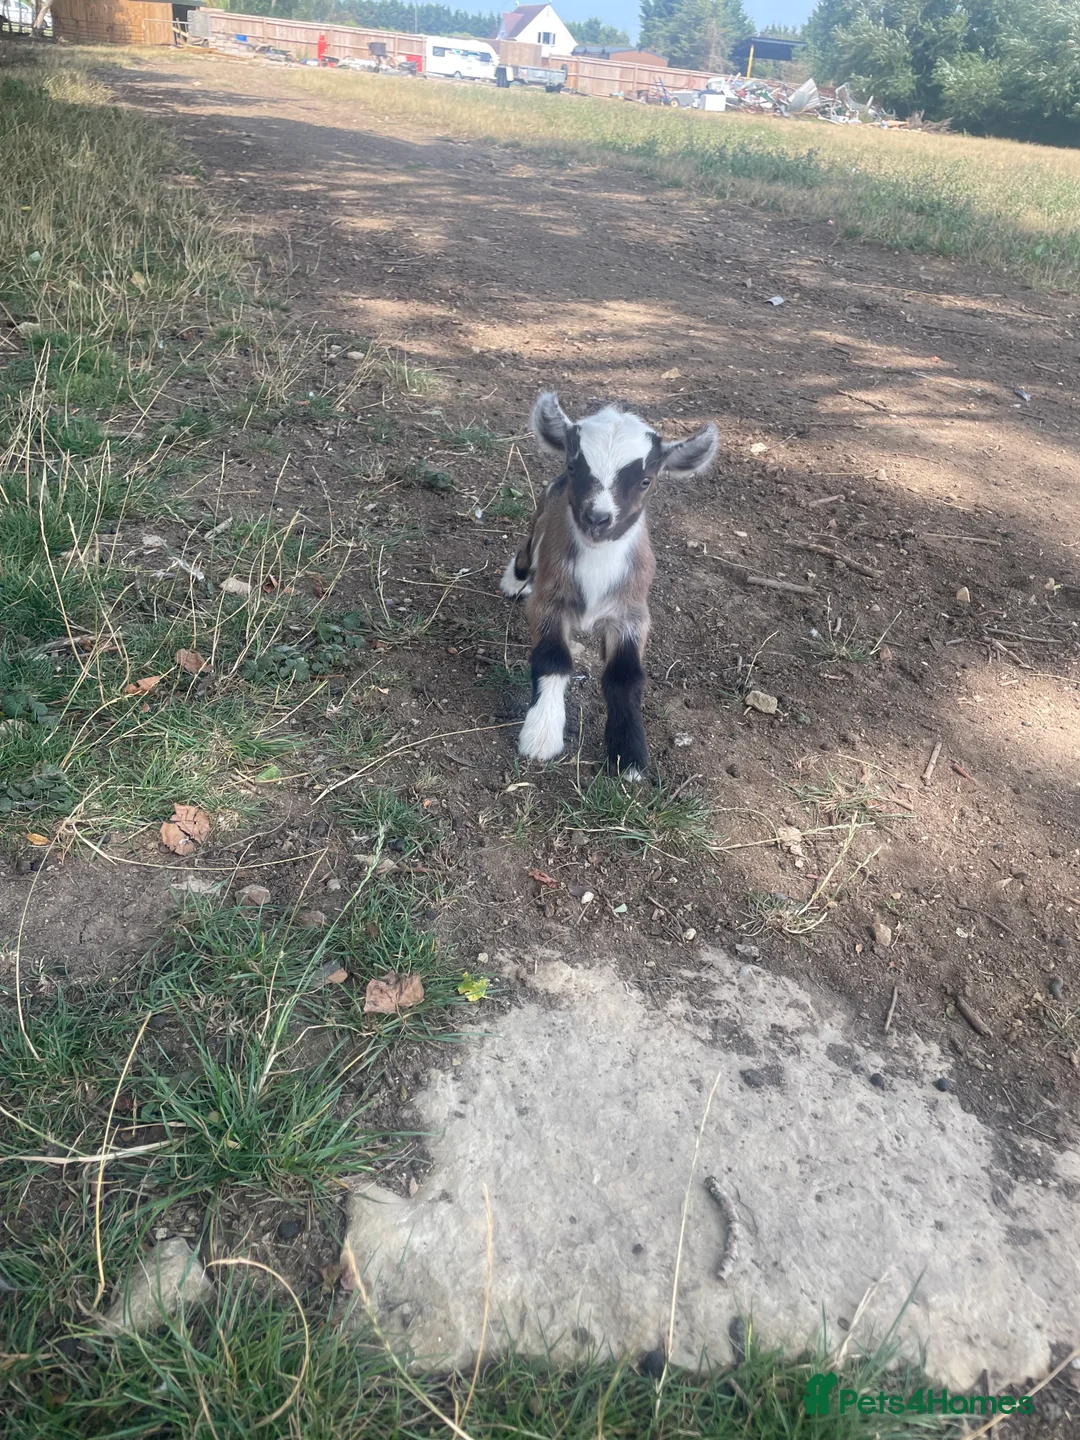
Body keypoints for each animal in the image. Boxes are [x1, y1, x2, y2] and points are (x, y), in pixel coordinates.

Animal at [501, 393, 718, 778]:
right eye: (575, 467)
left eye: (646, 480)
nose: (597, 519)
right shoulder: (549, 599)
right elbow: (552, 657)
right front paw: (541, 735)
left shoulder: (631, 613)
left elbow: (625, 676)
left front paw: (629, 755)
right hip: (541, 513)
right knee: (528, 548)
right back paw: (514, 580)